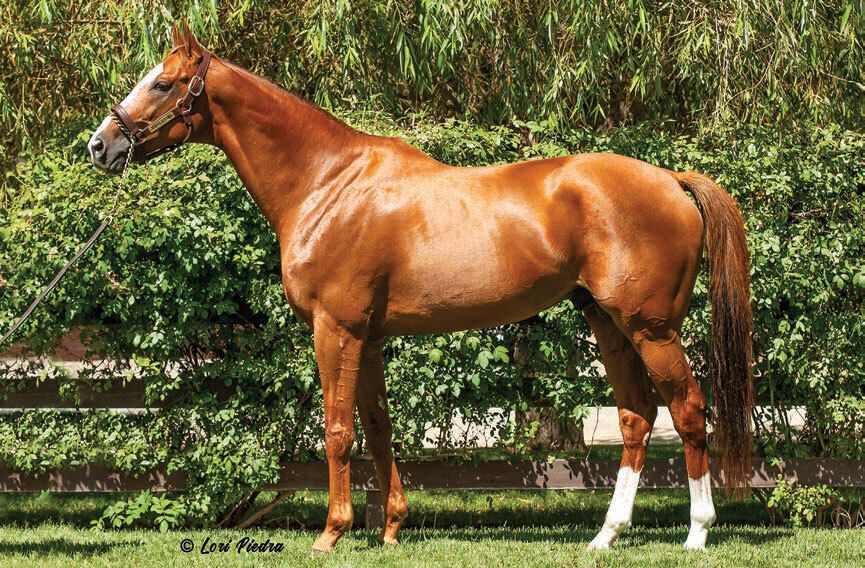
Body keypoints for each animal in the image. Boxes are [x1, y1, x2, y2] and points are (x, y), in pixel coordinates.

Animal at [88, 22, 754, 553]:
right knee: (638, 415)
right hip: (607, 322)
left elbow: (337, 431)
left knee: (688, 410)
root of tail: (670, 178)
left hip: (651, 327)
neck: (328, 182)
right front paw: (389, 529)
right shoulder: (369, 337)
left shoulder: (336, 329)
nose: (101, 145)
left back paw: (696, 534)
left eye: (163, 84)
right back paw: (606, 535)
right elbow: (378, 427)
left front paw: (331, 533)